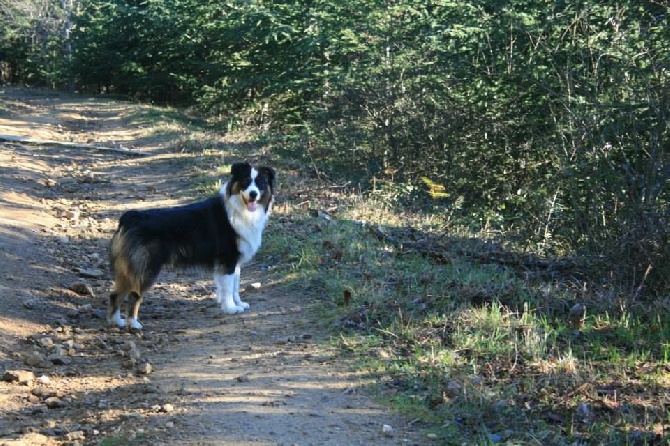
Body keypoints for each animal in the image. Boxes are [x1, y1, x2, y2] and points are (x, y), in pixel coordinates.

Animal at [107, 162, 276, 330]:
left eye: (260, 183)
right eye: (245, 181)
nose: (253, 194)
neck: (239, 208)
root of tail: (132, 217)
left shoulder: (235, 261)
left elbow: (235, 285)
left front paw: (238, 303)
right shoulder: (227, 258)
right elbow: (228, 287)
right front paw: (231, 308)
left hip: (129, 267)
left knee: (115, 294)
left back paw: (117, 321)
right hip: (146, 268)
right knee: (134, 294)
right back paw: (133, 323)